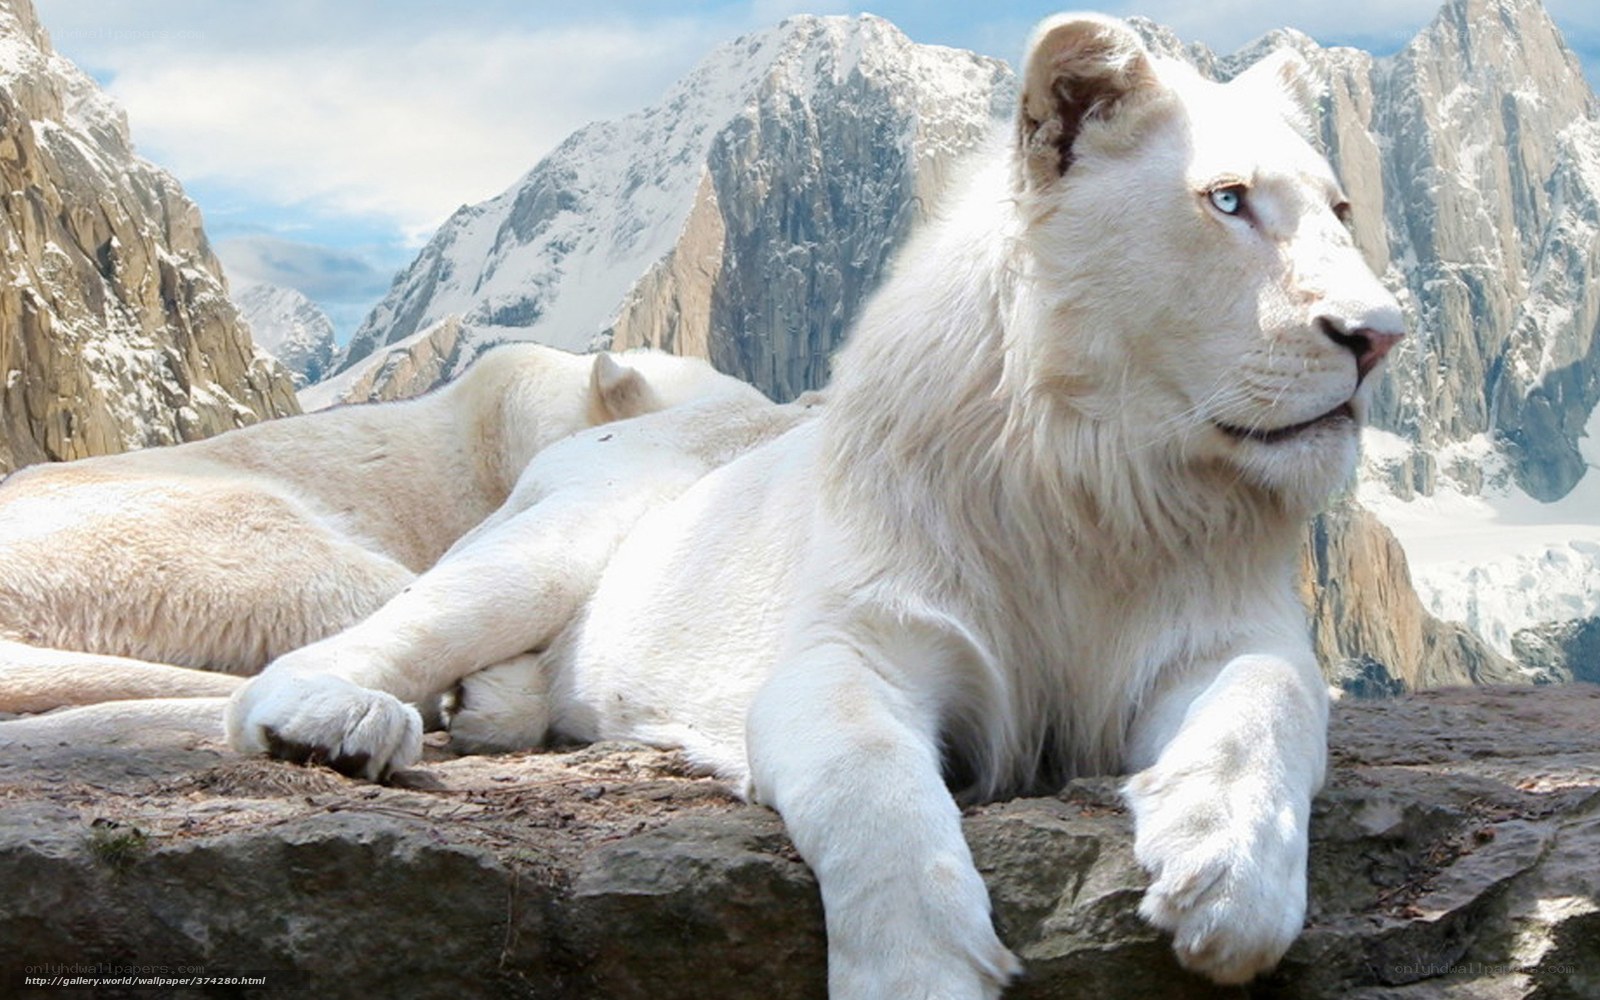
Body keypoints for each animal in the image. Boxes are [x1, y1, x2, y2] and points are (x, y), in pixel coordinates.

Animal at [226, 14, 1403, 997]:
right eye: (1227, 201)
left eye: (1343, 210)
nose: (1380, 336)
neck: (1098, 477)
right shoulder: (852, 648)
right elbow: (872, 790)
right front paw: (920, 977)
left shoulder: (1222, 637)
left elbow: (1266, 705)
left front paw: (1227, 880)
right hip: (545, 549)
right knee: (340, 652)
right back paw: (339, 724)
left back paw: (488, 707)